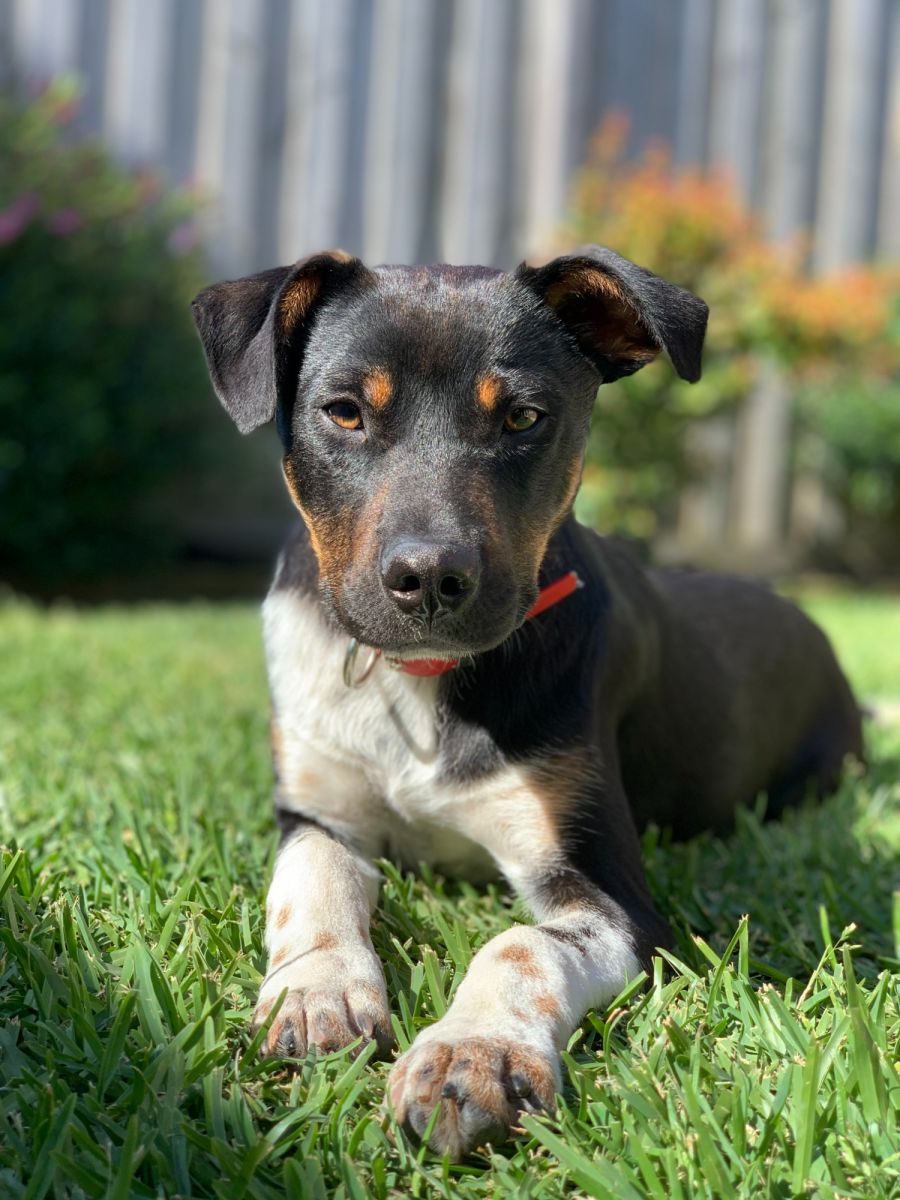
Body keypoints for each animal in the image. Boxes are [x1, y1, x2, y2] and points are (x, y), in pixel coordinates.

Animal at [192, 248, 868, 1156]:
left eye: (522, 418)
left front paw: (471, 1055)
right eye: (343, 412)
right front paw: (318, 987)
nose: (429, 579)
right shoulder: (315, 803)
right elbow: (310, 877)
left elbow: (521, 945)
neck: (423, 679)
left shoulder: (615, 897)